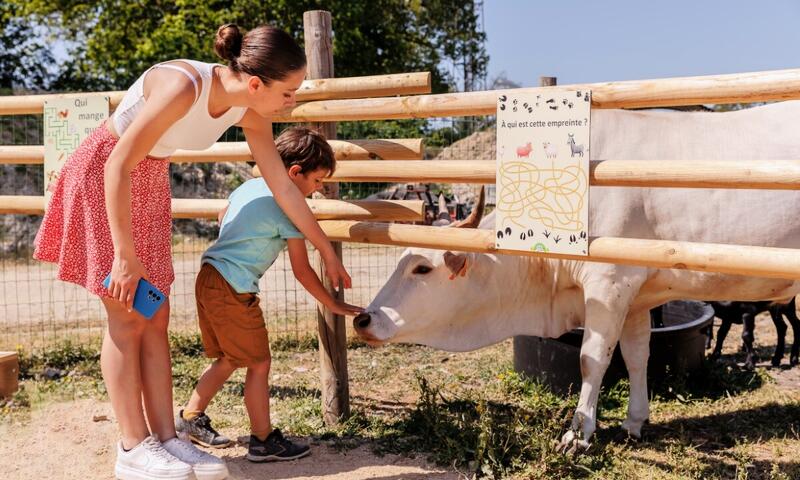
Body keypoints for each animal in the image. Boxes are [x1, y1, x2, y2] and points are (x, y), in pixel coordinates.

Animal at [354, 102, 800, 454]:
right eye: (401, 259)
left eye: (422, 267)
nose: (363, 319)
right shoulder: (635, 296)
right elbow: (637, 356)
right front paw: (634, 421)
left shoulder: (609, 284)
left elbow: (592, 359)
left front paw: (579, 432)